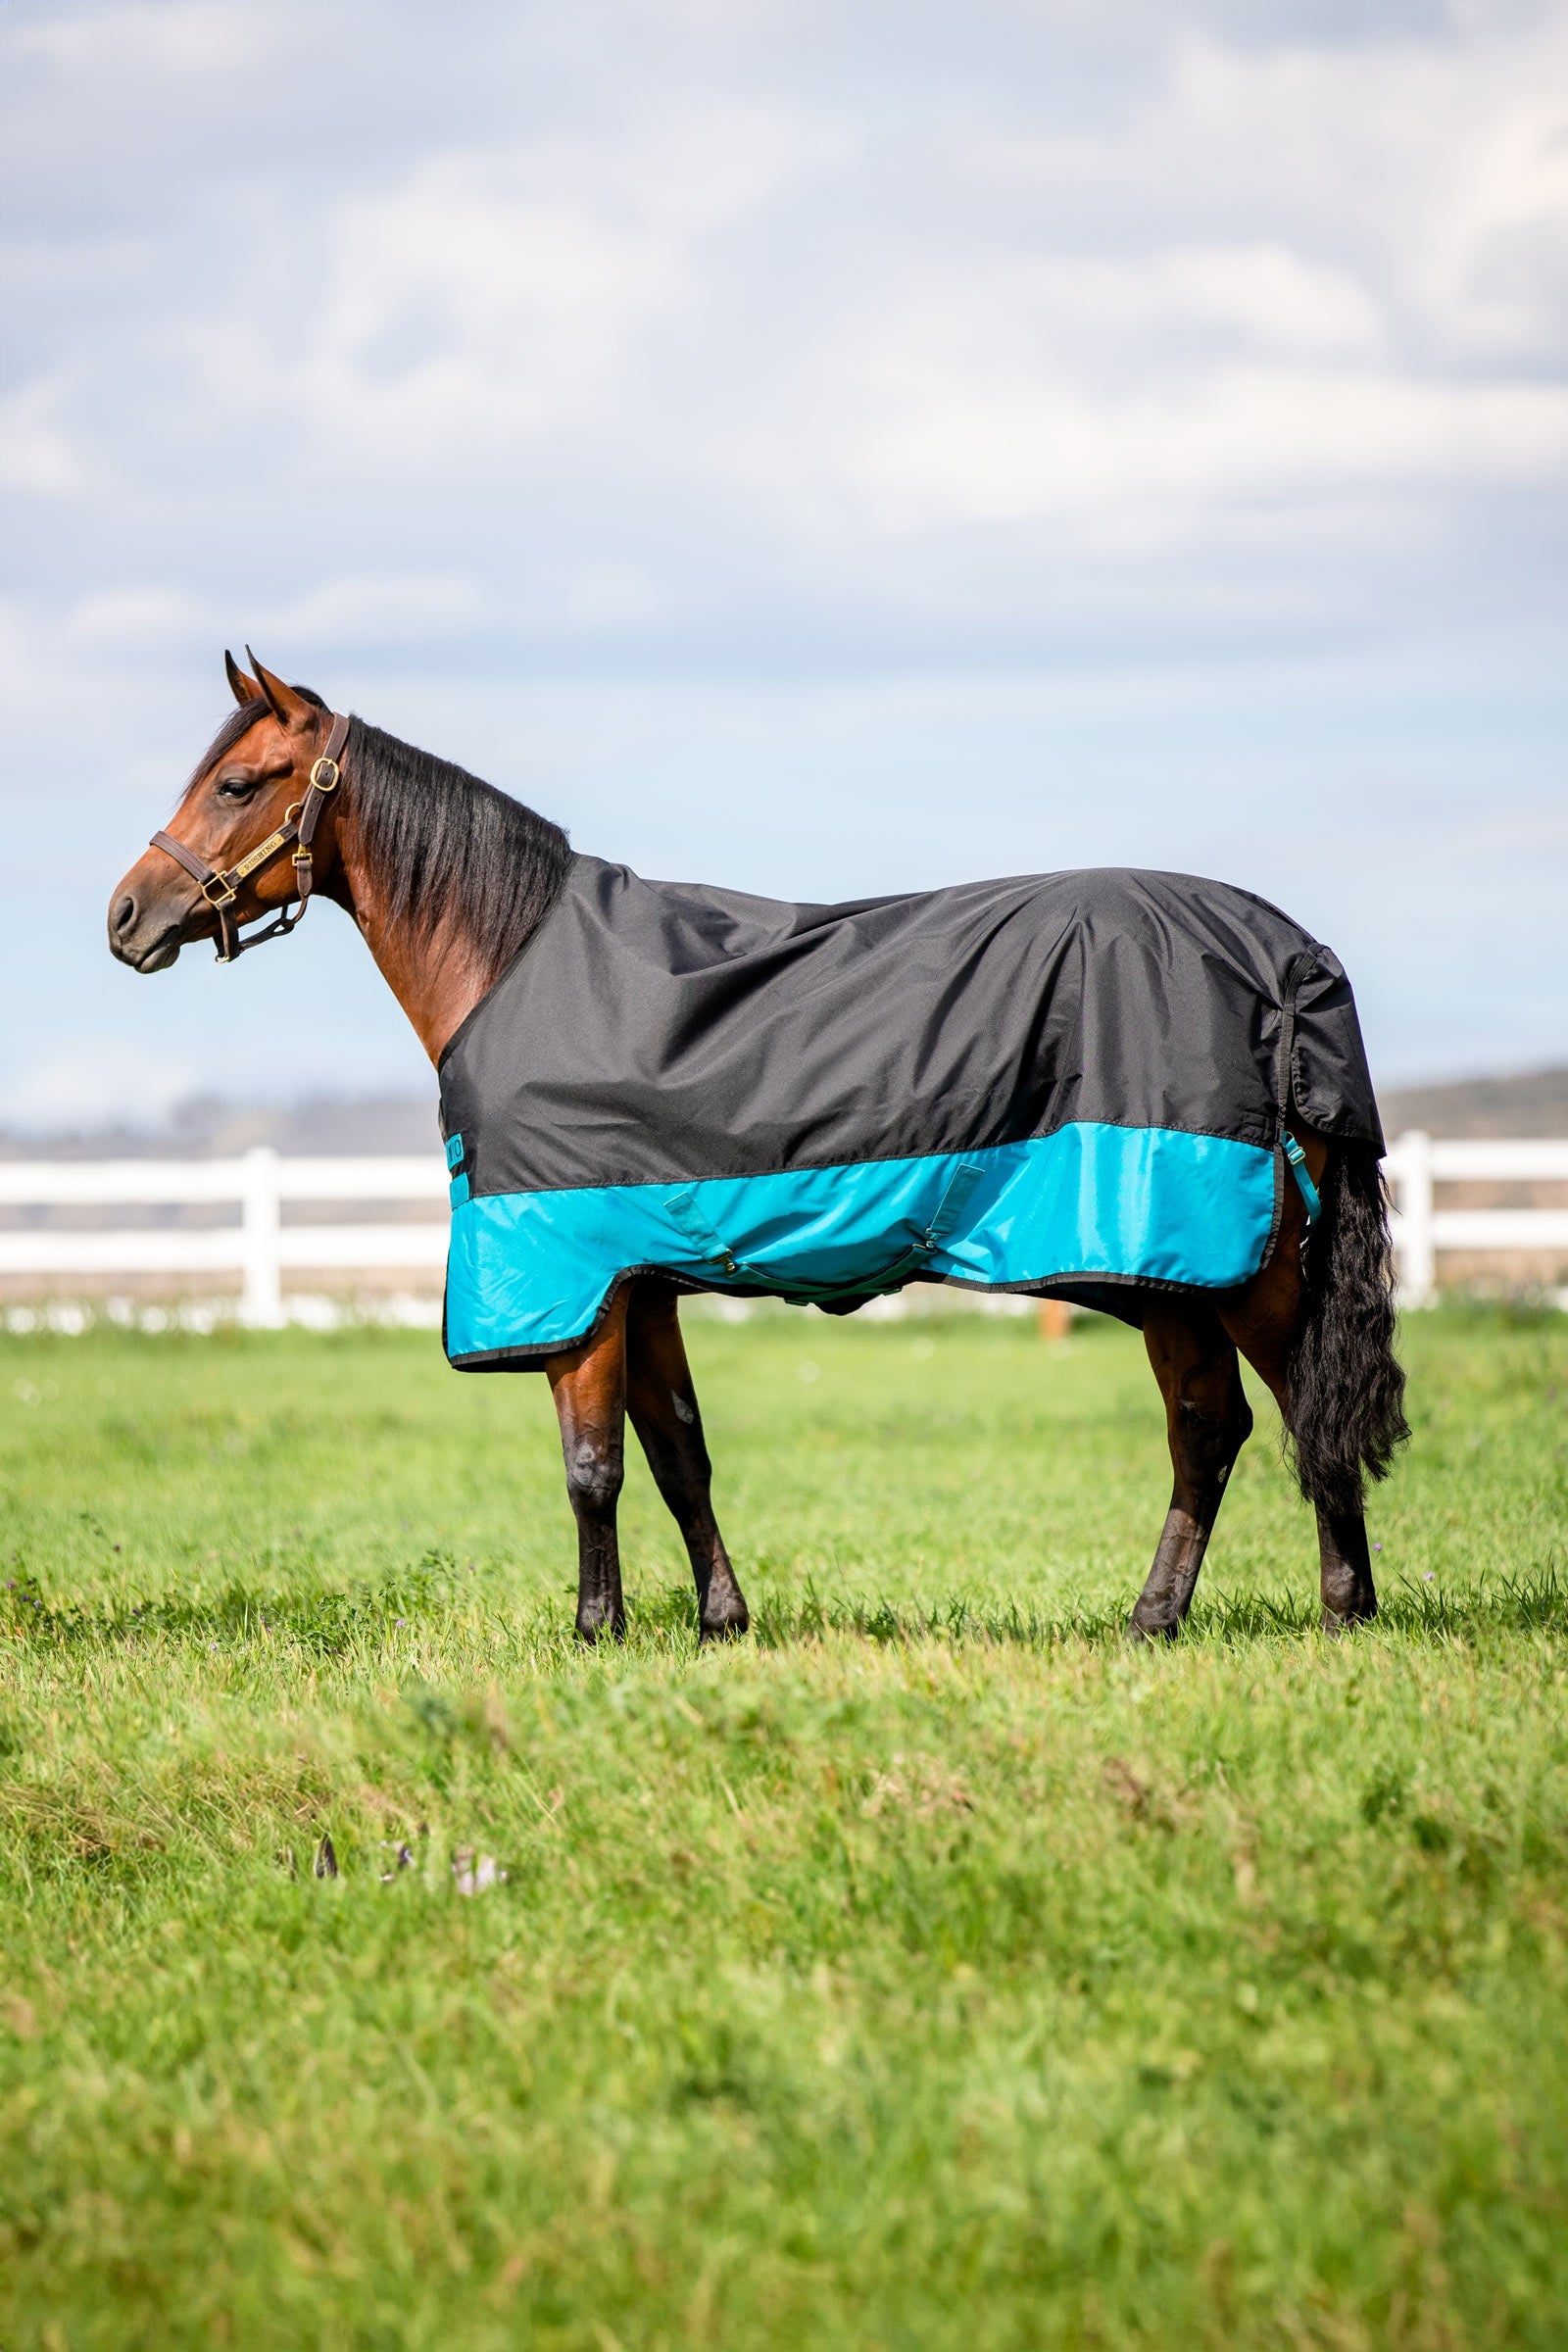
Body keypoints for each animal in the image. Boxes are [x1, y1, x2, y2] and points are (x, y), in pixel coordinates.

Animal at [108, 652, 1408, 1645]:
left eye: (239, 781)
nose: (126, 917)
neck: (517, 961)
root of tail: (1286, 955)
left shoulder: (576, 1278)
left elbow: (592, 1467)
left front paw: (595, 1633)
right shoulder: (641, 1282)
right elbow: (678, 1455)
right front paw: (719, 1622)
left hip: (1245, 1264)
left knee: (1299, 1413)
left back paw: (1341, 1611)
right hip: (1166, 1275)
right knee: (1210, 1427)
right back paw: (1154, 1619)